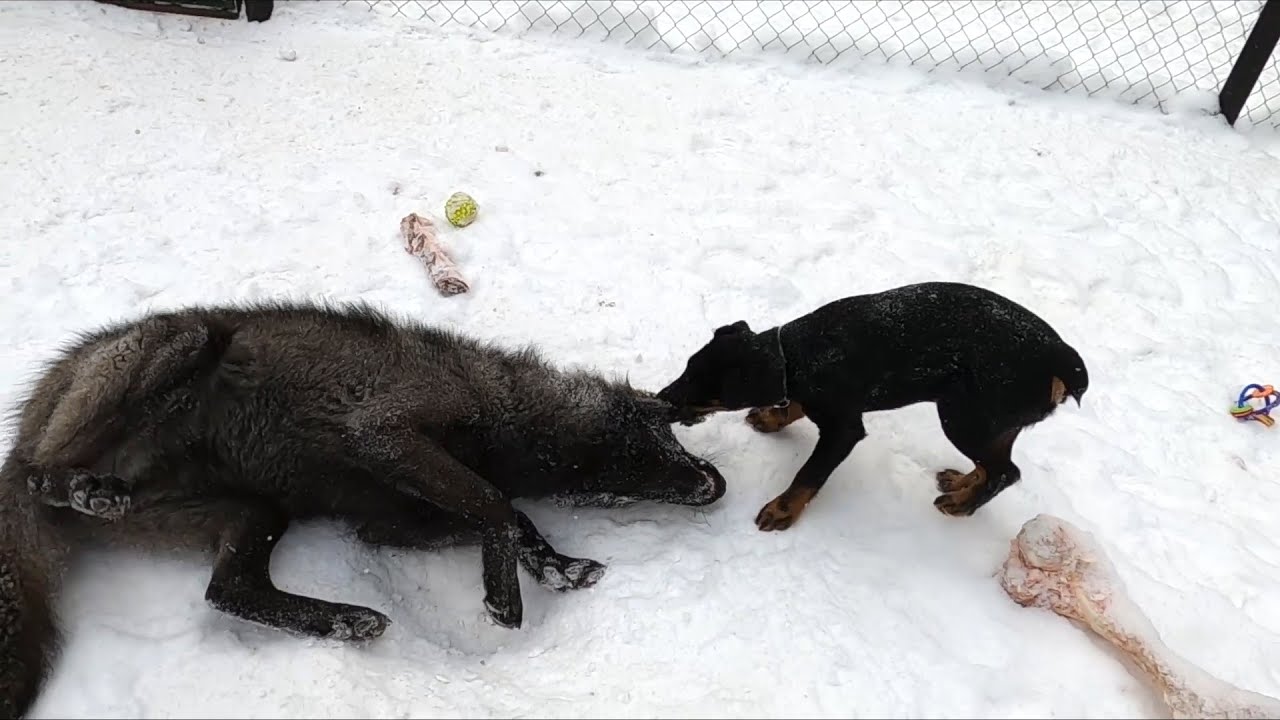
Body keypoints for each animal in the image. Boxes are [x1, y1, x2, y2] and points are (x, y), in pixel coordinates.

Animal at [0, 300, 726, 717]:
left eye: (615, 491)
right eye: (651, 439)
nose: (713, 485)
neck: (500, 423)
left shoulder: (385, 524)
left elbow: (513, 518)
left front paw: (556, 567)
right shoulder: (385, 432)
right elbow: (496, 506)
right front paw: (507, 596)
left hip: (257, 513)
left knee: (227, 590)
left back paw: (346, 621)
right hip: (186, 344)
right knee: (40, 476)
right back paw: (80, 486)